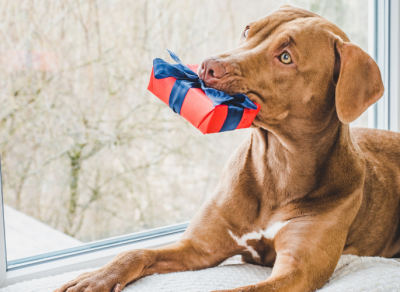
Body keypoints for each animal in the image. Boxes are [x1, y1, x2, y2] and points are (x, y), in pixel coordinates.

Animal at [56, 4, 400, 292]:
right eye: (248, 30)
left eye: (286, 57)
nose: (209, 65)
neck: (278, 165)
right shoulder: (199, 248)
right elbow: (136, 252)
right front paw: (98, 277)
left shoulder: (296, 273)